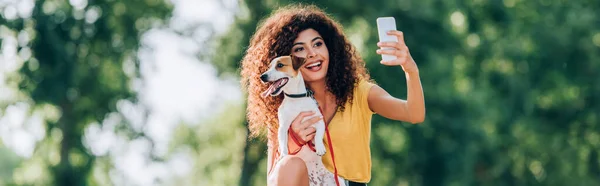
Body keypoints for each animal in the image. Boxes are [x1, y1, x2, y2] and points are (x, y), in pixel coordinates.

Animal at [260, 55, 344, 186]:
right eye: (269, 67)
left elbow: (318, 135)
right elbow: (283, 142)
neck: (296, 99)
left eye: (280, 65)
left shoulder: (319, 121)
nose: (262, 76)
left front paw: (320, 148)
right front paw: (284, 154)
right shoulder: (283, 127)